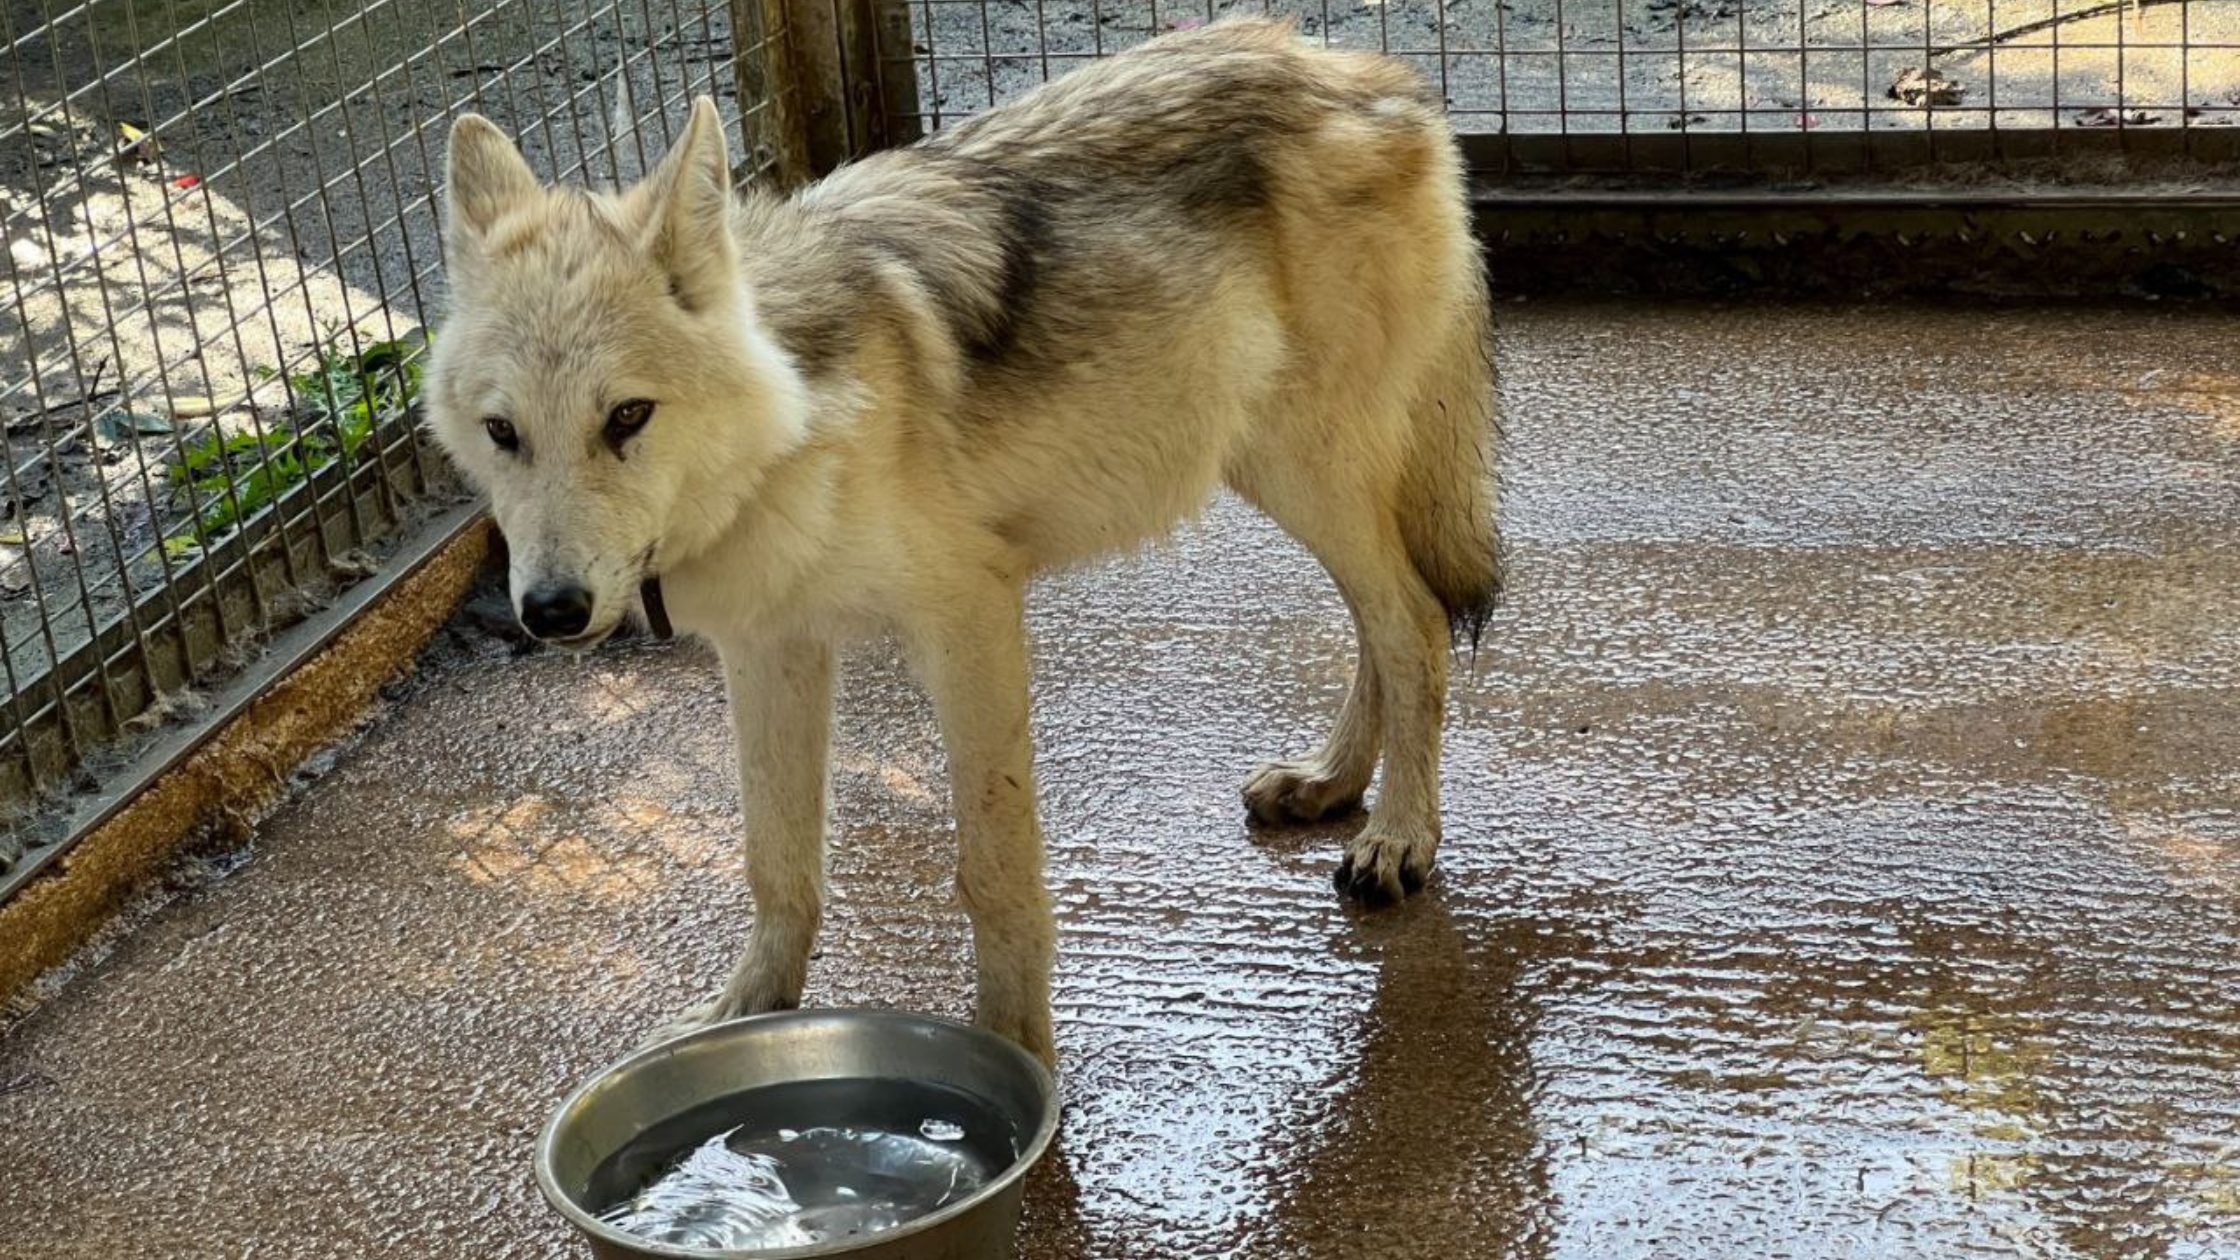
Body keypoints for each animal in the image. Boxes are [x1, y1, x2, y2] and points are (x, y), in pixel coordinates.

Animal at [425, 17, 1499, 1065]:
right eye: (503, 432)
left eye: (627, 417)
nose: (551, 611)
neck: (795, 433)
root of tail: (1379, 75)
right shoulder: (772, 647)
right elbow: (777, 863)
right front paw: (747, 1010)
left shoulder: (969, 618)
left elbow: (992, 869)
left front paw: (1016, 1056)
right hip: (1280, 474)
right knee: (1385, 625)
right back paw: (1332, 784)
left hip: (1302, 471)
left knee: (1414, 624)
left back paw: (1399, 836)